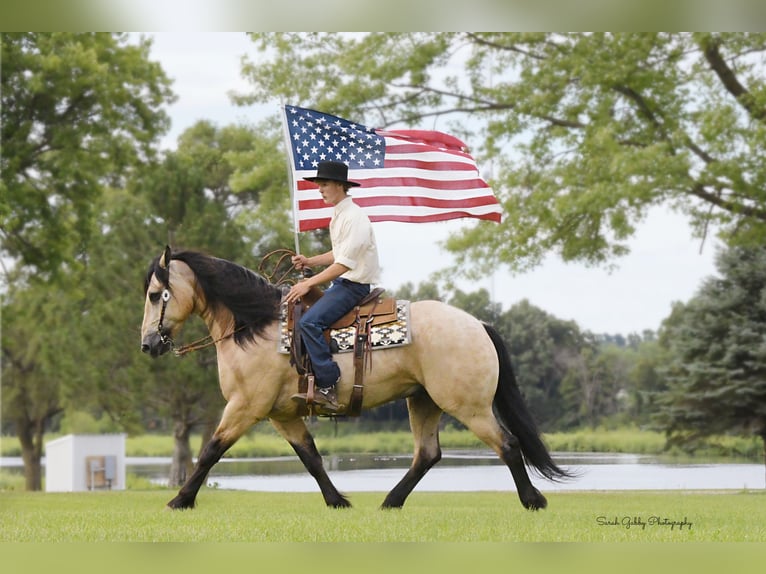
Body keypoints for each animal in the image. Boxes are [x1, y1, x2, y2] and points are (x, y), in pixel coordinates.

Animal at [141, 245, 568, 510]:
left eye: (155, 294)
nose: (148, 344)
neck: (255, 326)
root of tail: (477, 324)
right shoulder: (282, 414)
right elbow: (311, 457)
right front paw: (338, 501)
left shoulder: (246, 407)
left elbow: (211, 450)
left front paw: (179, 500)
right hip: (423, 401)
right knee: (427, 454)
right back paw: (390, 501)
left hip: (468, 406)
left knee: (507, 444)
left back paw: (533, 500)